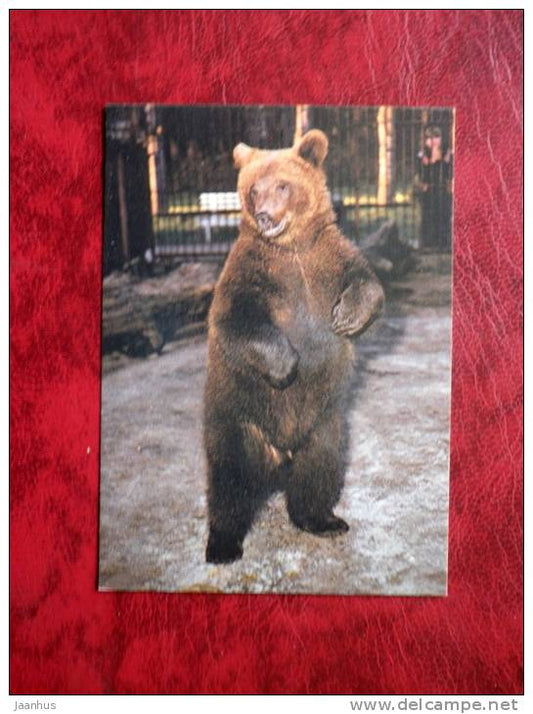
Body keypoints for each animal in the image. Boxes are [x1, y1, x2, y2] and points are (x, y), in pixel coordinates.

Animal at [204, 129, 384, 564]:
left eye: (282, 185)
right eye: (253, 189)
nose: (265, 216)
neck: (291, 246)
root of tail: (279, 457)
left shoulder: (329, 259)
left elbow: (368, 283)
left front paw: (348, 317)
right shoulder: (252, 271)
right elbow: (234, 320)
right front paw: (286, 363)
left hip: (324, 424)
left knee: (319, 471)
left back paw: (323, 520)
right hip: (238, 420)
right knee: (228, 483)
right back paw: (223, 544)